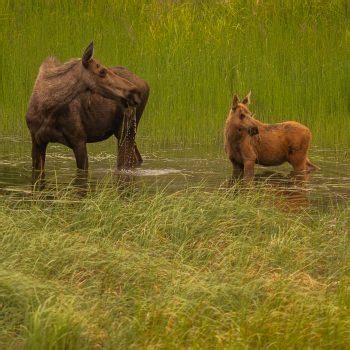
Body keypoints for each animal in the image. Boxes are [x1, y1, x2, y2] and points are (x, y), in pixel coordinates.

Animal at [25, 41, 146, 180]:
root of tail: (146, 84)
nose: (135, 92)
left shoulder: (79, 140)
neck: (48, 109)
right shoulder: (37, 140)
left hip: (124, 131)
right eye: (102, 71)